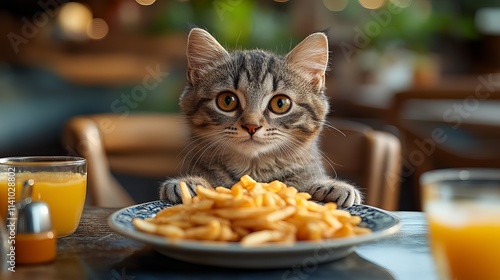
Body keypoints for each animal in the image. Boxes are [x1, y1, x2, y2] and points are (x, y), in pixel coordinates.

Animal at [160, 28, 360, 208]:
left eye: (280, 103)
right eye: (227, 100)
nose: (251, 126)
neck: (254, 174)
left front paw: (331, 186)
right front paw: (190, 183)